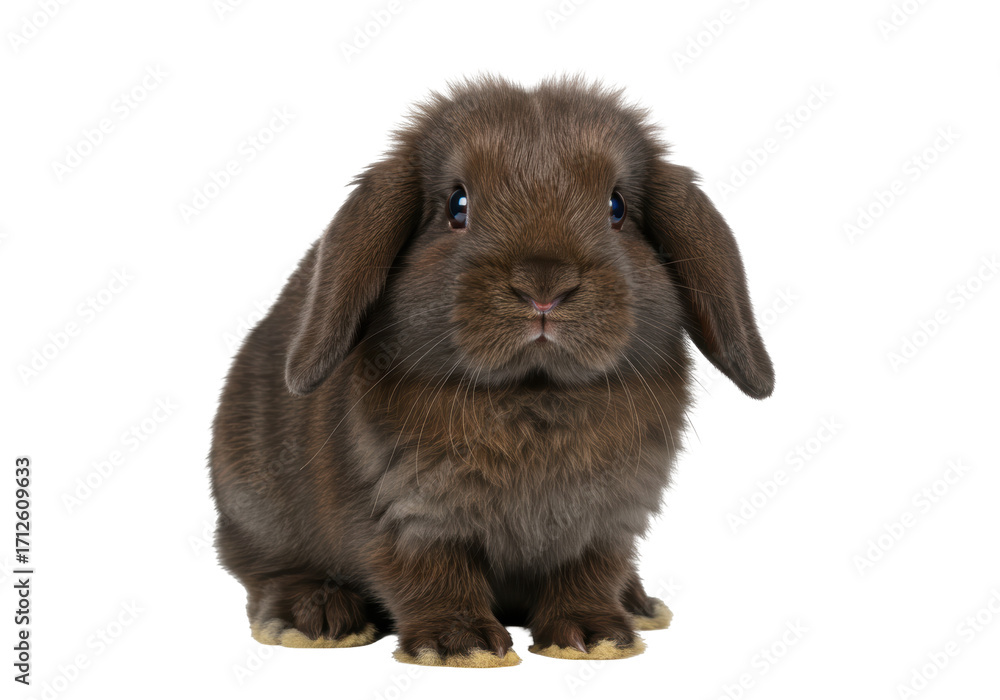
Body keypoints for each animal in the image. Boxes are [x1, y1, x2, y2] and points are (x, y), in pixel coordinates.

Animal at [209, 75, 774, 668]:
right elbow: (429, 573)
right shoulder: (410, 514)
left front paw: (594, 635)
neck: (534, 392)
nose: (544, 286)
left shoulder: (606, 520)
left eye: (617, 206)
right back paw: (316, 618)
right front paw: (460, 644)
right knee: (267, 570)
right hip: (256, 509)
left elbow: (588, 575)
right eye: (458, 205)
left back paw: (639, 604)